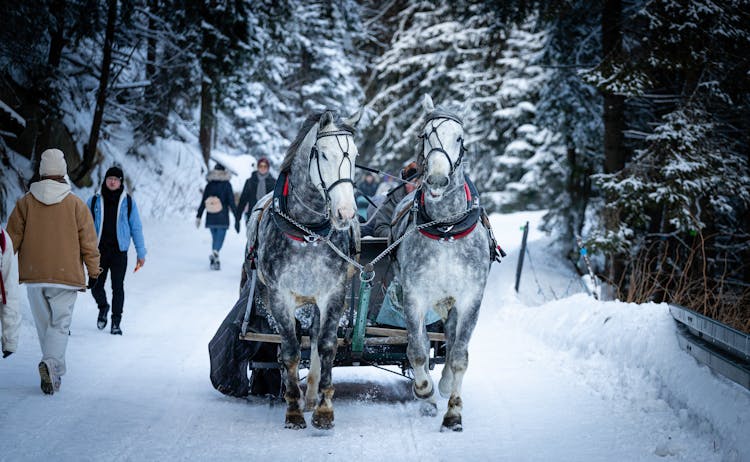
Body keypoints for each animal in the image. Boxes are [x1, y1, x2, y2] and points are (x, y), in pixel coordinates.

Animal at [253, 109, 362, 430]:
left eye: (354, 155)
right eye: (323, 154)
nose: (345, 213)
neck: (308, 231)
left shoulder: (333, 293)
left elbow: (325, 346)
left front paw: (324, 409)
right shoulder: (279, 295)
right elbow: (289, 350)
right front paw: (293, 410)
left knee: (313, 337)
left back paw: (312, 395)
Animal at [394, 94, 494, 434]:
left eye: (460, 138)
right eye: (426, 135)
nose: (437, 178)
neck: (446, 229)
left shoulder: (470, 298)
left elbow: (460, 355)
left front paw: (453, 413)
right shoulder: (413, 295)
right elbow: (416, 350)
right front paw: (423, 391)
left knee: (450, 341)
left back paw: (447, 383)